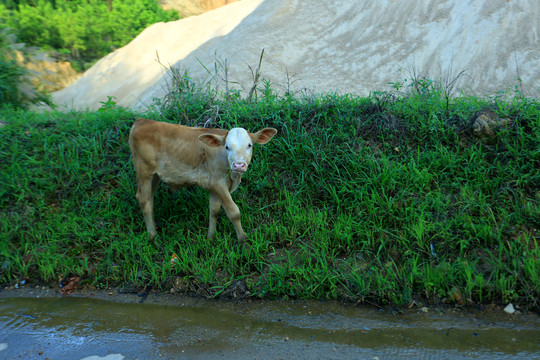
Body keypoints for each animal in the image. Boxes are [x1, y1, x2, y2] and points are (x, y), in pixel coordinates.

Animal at [128, 119, 276, 242]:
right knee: (144, 201)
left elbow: (214, 211)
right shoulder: (219, 184)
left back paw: (154, 229)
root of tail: (141, 121)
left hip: (155, 176)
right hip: (144, 172)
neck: (232, 176)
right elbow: (233, 212)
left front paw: (211, 237)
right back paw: (153, 236)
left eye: (249, 145)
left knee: (148, 198)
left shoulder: (213, 185)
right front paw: (243, 239)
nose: (239, 165)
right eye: (227, 147)